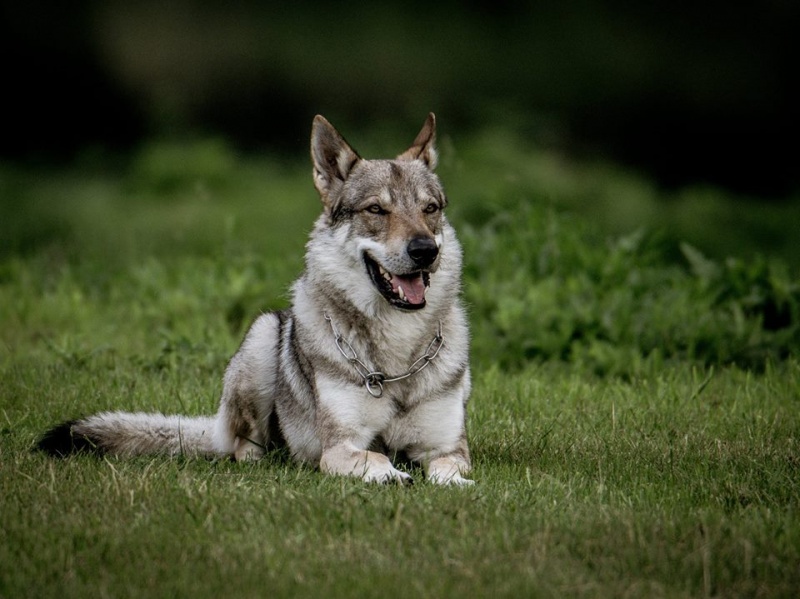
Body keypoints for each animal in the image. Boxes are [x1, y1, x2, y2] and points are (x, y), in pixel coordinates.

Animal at [37, 113, 472, 488]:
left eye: (430, 209)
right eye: (377, 210)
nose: (425, 250)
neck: (398, 352)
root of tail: (215, 428)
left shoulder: (449, 446)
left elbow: (447, 469)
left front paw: (456, 485)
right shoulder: (338, 447)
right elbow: (375, 456)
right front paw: (392, 475)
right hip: (262, 336)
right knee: (244, 448)